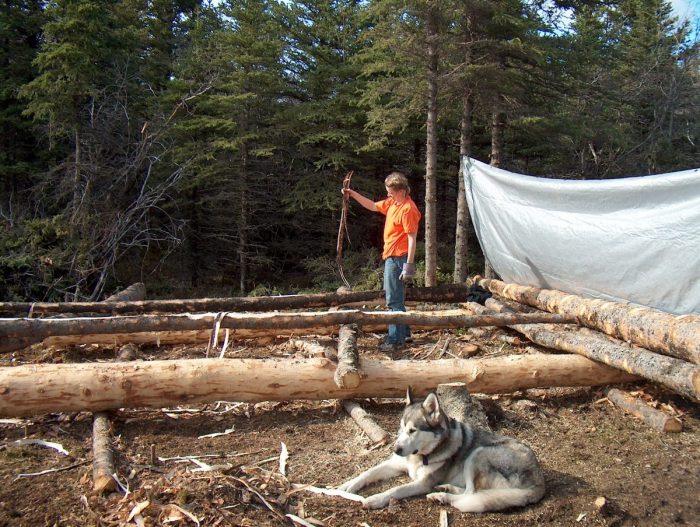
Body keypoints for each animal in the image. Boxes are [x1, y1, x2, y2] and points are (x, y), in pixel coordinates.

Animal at [340, 390, 548, 512]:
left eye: (412, 430)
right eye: (401, 429)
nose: (396, 449)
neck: (421, 456)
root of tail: (539, 480)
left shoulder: (422, 483)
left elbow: (395, 489)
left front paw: (375, 499)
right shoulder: (395, 463)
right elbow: (368, 472)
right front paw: (346, 486)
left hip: (478, 454)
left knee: (470, 495)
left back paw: (441, 496)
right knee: (470, 492)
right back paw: (445, 488)